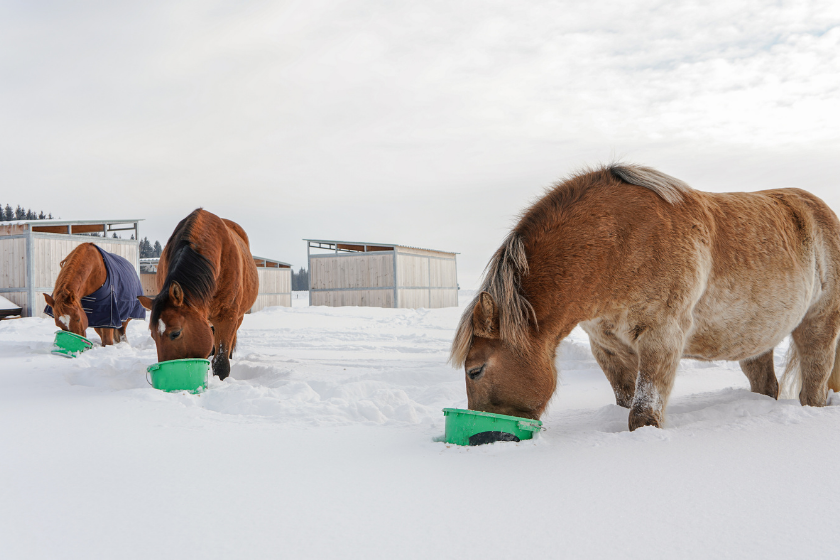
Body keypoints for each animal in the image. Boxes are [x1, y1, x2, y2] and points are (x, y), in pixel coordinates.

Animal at [452, 164, 840, 430]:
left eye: (475, 370)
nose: (487, 434)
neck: (619, 245)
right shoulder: (607, 348)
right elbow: (625, 402)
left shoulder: (661, 338)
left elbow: (643, 415)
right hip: (755, 340)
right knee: (765, 384)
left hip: (818, 326)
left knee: (813, 390)